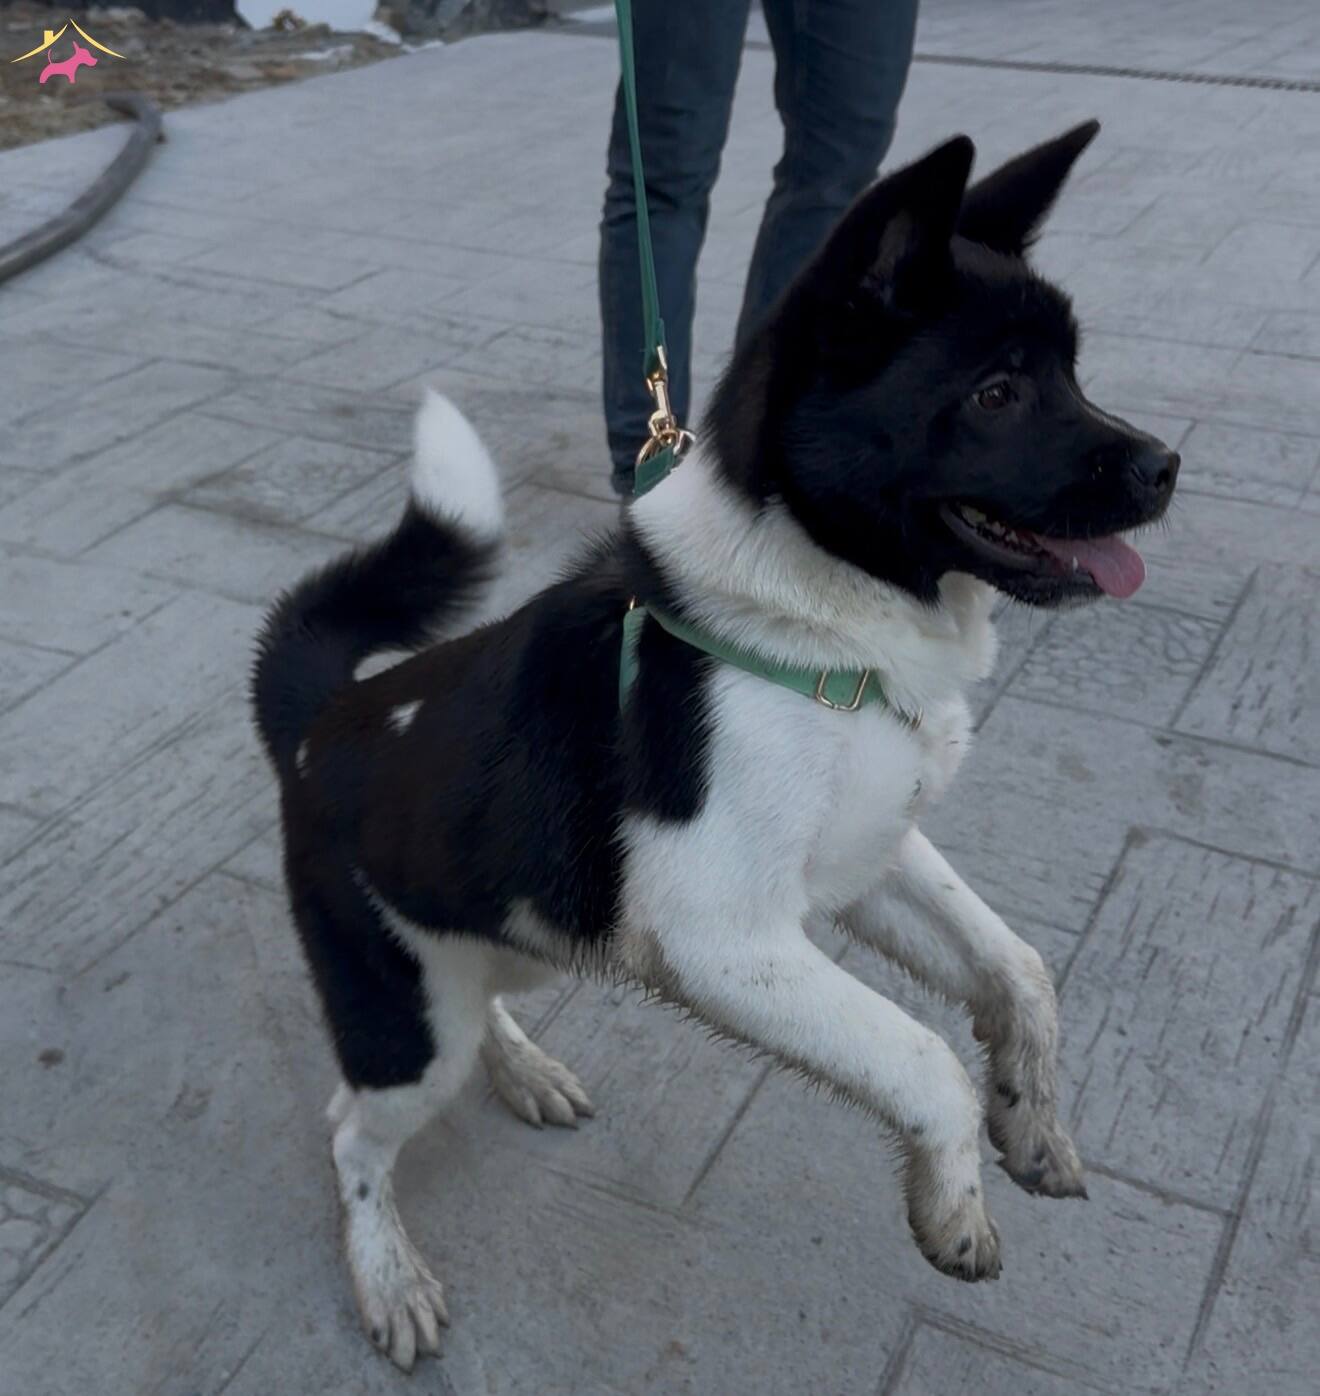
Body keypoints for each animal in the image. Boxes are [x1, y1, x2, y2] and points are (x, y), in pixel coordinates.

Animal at [252, 120, 1179, 1370]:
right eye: (996, 392)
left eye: (1073, 374)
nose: (1166, 469)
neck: (814, 613)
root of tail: (319, 722)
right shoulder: (727, 939)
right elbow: (921, 1057)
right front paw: (955, 1199)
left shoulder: (869, 860)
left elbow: (1019, 970)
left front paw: (1031, 1119)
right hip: (405, 1020)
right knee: (352, 1130)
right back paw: (386, 1269)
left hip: (516, 930)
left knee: (479, 1006)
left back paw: (523, 1065)